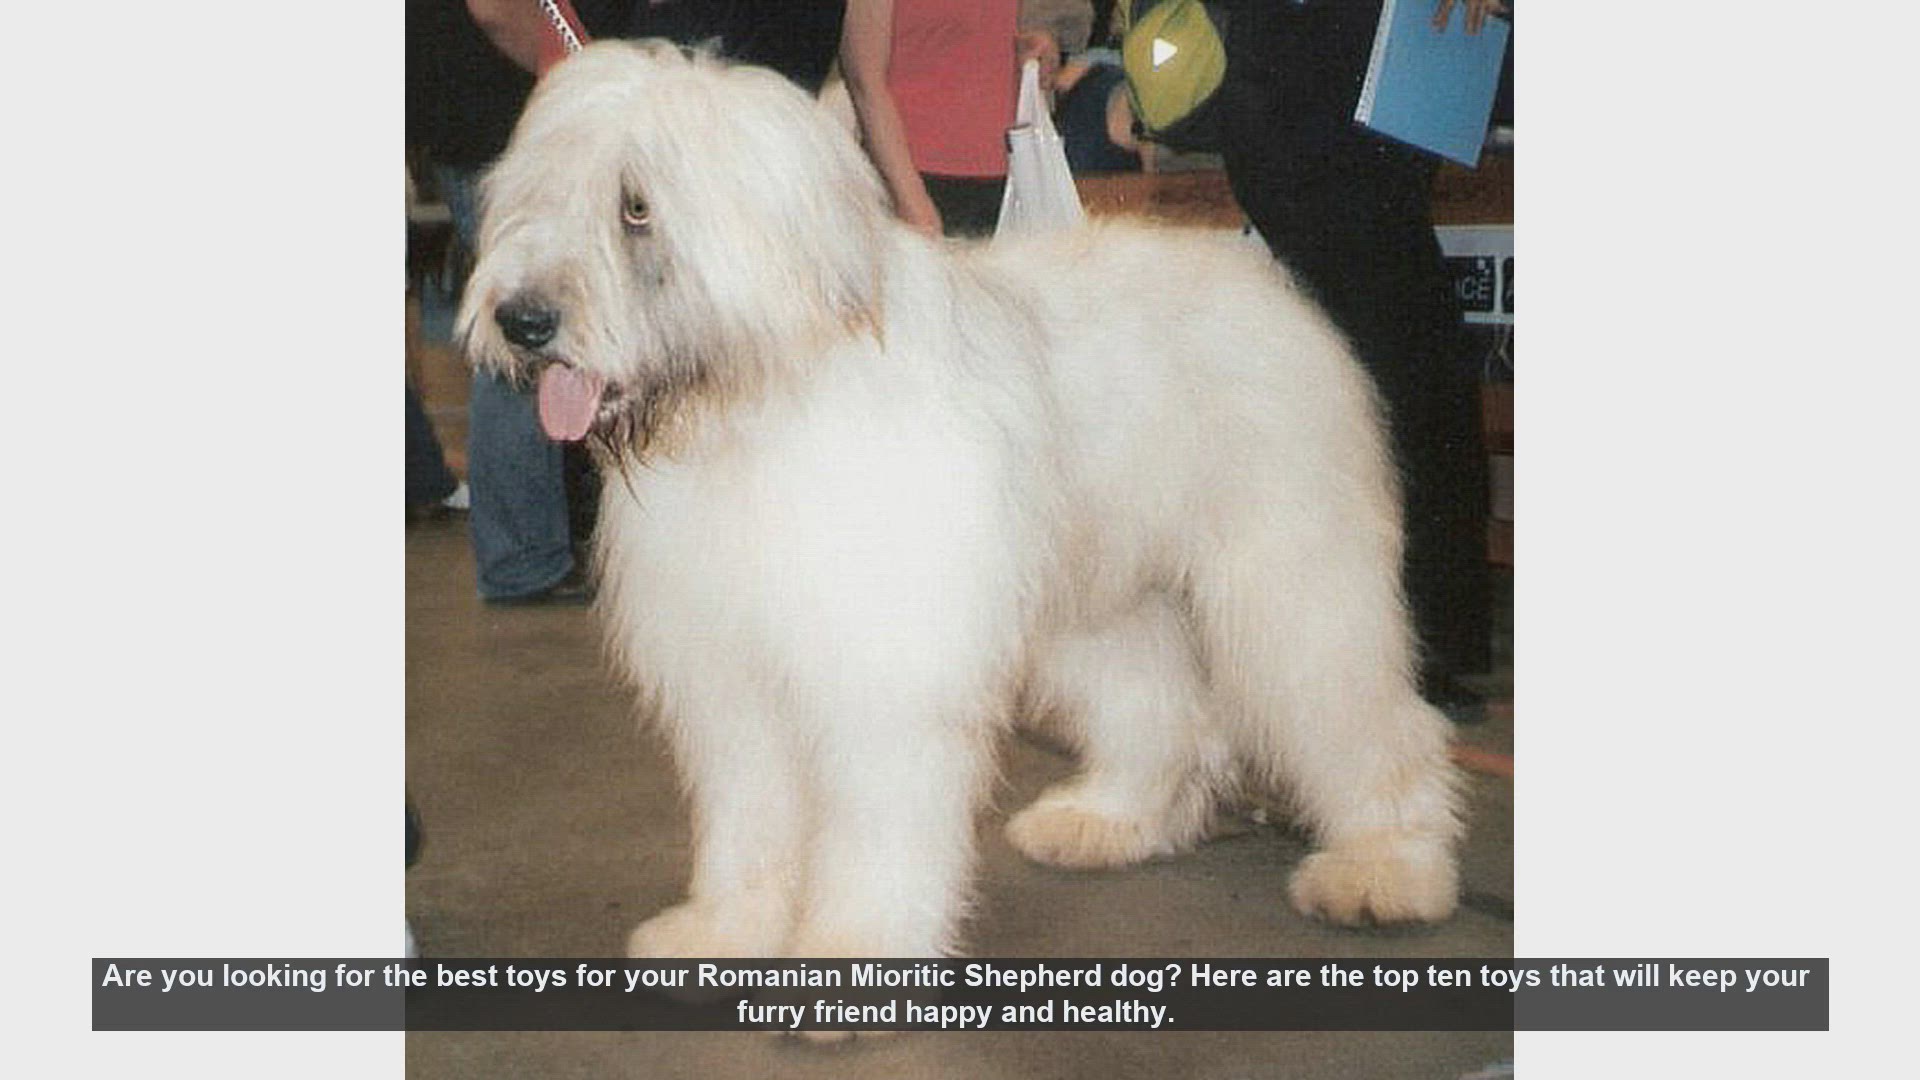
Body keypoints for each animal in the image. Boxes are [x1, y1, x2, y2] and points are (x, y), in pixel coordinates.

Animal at [459, 40, 1462, 960]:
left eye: (636, 205)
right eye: (535, 196)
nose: (520, 321)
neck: (762, 403)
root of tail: (1262, 282)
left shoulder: (882, 668)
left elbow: (876, 826)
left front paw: (853, 951)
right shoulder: (735, 671)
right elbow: (750, 814)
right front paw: (726, 926)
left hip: (1288, 578)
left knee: (1368, 715)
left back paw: (1389, 867)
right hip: (1100, 587)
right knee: (1163, 707)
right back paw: (1109, 820)